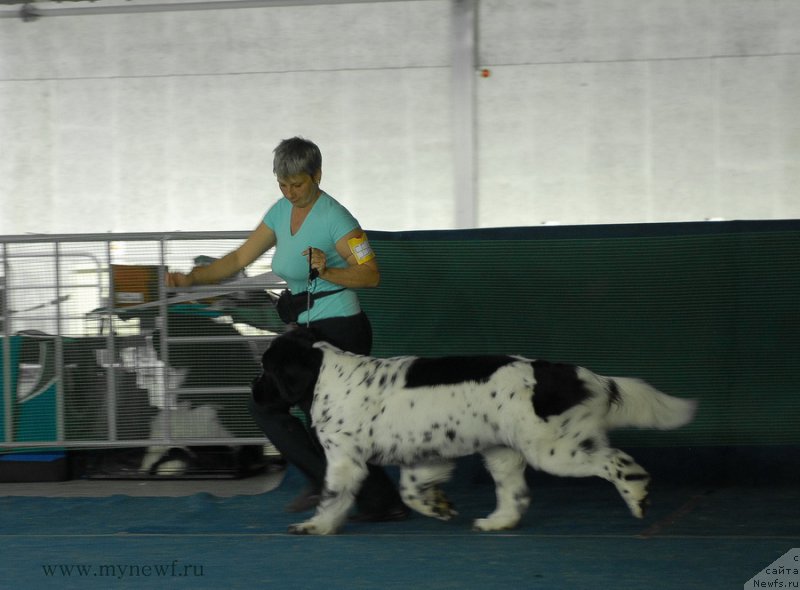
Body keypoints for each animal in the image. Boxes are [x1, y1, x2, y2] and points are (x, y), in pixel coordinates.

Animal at [253, 330, 696, 540]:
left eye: (267, 369)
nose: (254, 390)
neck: (326, 373)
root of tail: (570, 372)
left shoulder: (344, 457)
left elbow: (332, 497)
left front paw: (316, 527)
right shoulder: (423, 455)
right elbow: (412, 492)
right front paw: (440, 507)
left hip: (552, 449)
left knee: (617, 462)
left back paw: (638, 496)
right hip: (504, 452)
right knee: (515, 496)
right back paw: (496, 522)